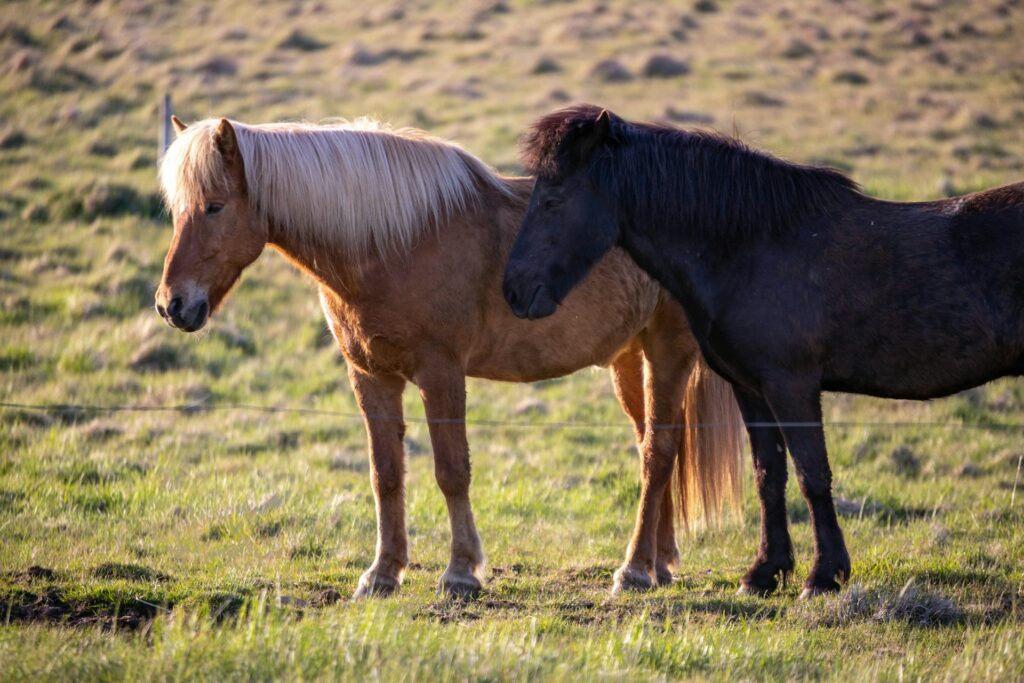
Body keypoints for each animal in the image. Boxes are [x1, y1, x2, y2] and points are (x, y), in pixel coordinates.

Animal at [153, 116, 745, 598]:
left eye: (214, 207)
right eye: (176, 211)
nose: (171, 305)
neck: (393, 241)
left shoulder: (441, 374)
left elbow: (451, 470)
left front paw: (461, 572)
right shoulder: (371, 376)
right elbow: (386, 474)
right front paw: (383, 573)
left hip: (667, 352)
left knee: (658, 452)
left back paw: (635, 571)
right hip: (629, 361)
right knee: (656, 446)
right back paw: (660, 563)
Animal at [503, 102, 1024, 598]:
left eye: (551, 201)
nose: (513, 290)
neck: (753, 247)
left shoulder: (792, 386)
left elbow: (813, 475)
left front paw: (823, 576)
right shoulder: (751, 388)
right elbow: (768, 475)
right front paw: (765, 572)